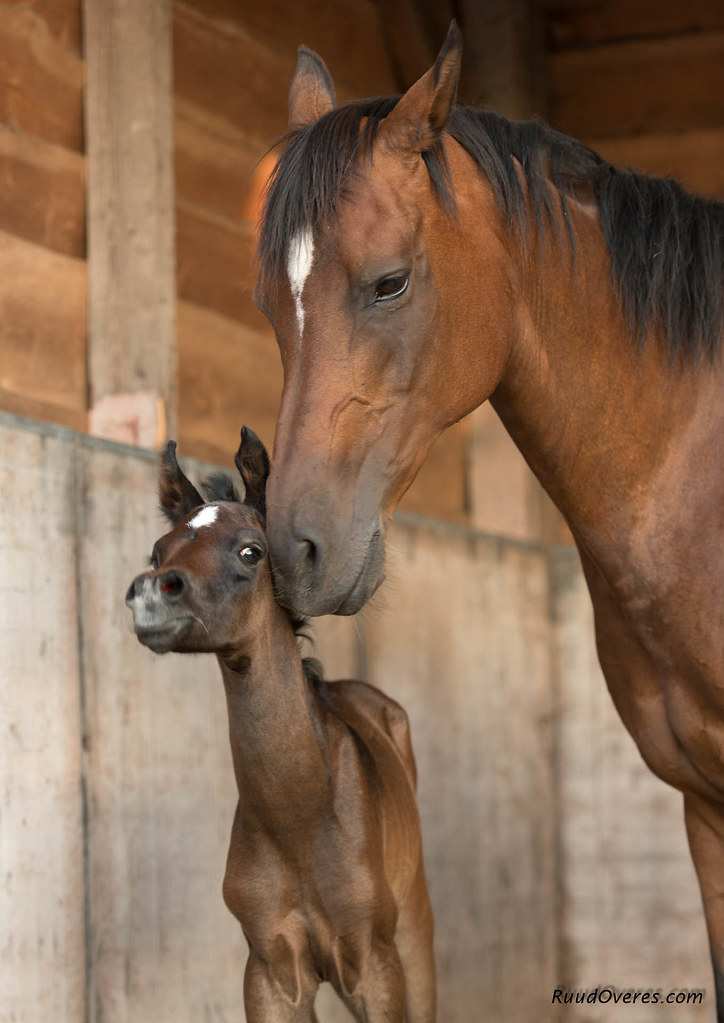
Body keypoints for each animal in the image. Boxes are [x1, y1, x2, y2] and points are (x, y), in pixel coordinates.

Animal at [124, 427, 435, 1023]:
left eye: (251, 550)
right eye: (157, 551)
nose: (151, 594)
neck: (301, 820)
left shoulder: (376, 964)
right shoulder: (270, 971)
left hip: (415, 930)